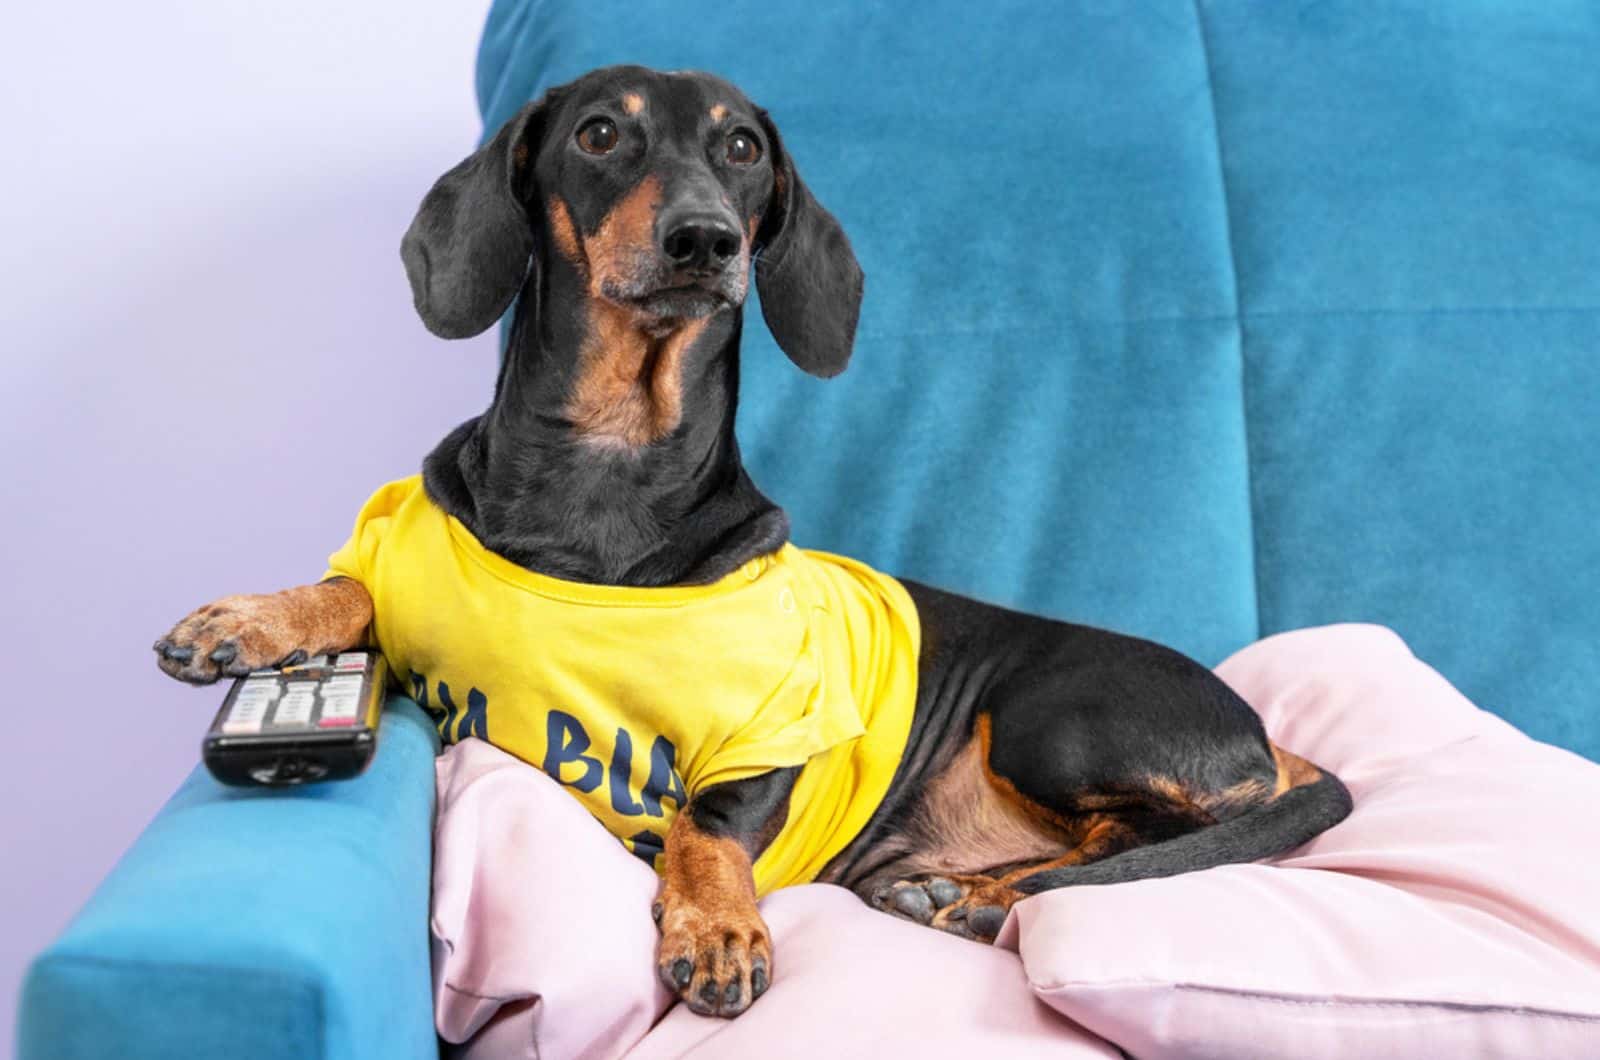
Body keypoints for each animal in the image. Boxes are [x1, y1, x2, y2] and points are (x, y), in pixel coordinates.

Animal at [152, 64, 1350, 1024]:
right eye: (600, 133)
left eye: (741, 148)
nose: (704, 240)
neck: (606, 471)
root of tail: (1259, 731)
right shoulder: (410, 579)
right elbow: (354, 594)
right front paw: (249, 621)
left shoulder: (766, 736)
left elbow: (705, 828)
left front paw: (719, 929)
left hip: (1051, 719)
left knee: (1163, 832)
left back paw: (975, 899)